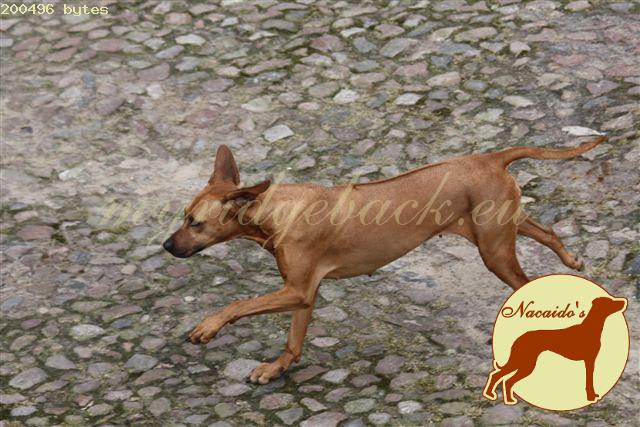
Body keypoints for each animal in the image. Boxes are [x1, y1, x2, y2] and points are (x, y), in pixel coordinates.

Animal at [163, 136, 605, 384]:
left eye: (194, 222)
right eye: (184, 216)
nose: (166, 246)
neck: (276, 210)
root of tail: (490, 157)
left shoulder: (297, 289)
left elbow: (238, 303)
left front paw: (207, 327)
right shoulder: (303, 294)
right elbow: (293, 341)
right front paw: (276, 368)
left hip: (494, 250)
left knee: (525, 283)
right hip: (499, 230)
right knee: (547, 233)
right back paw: (573, 260)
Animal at [483, 296, 626, 404]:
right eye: (610, 301)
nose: (624, 302)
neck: (591, 328)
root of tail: (519, 338)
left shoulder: (589, 361)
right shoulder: (589, 361)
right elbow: (589, 381)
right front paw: (591, 397)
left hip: (524, 362)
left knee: (504, 379)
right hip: (524, 362)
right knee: (501, 377)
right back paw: (496, 396)